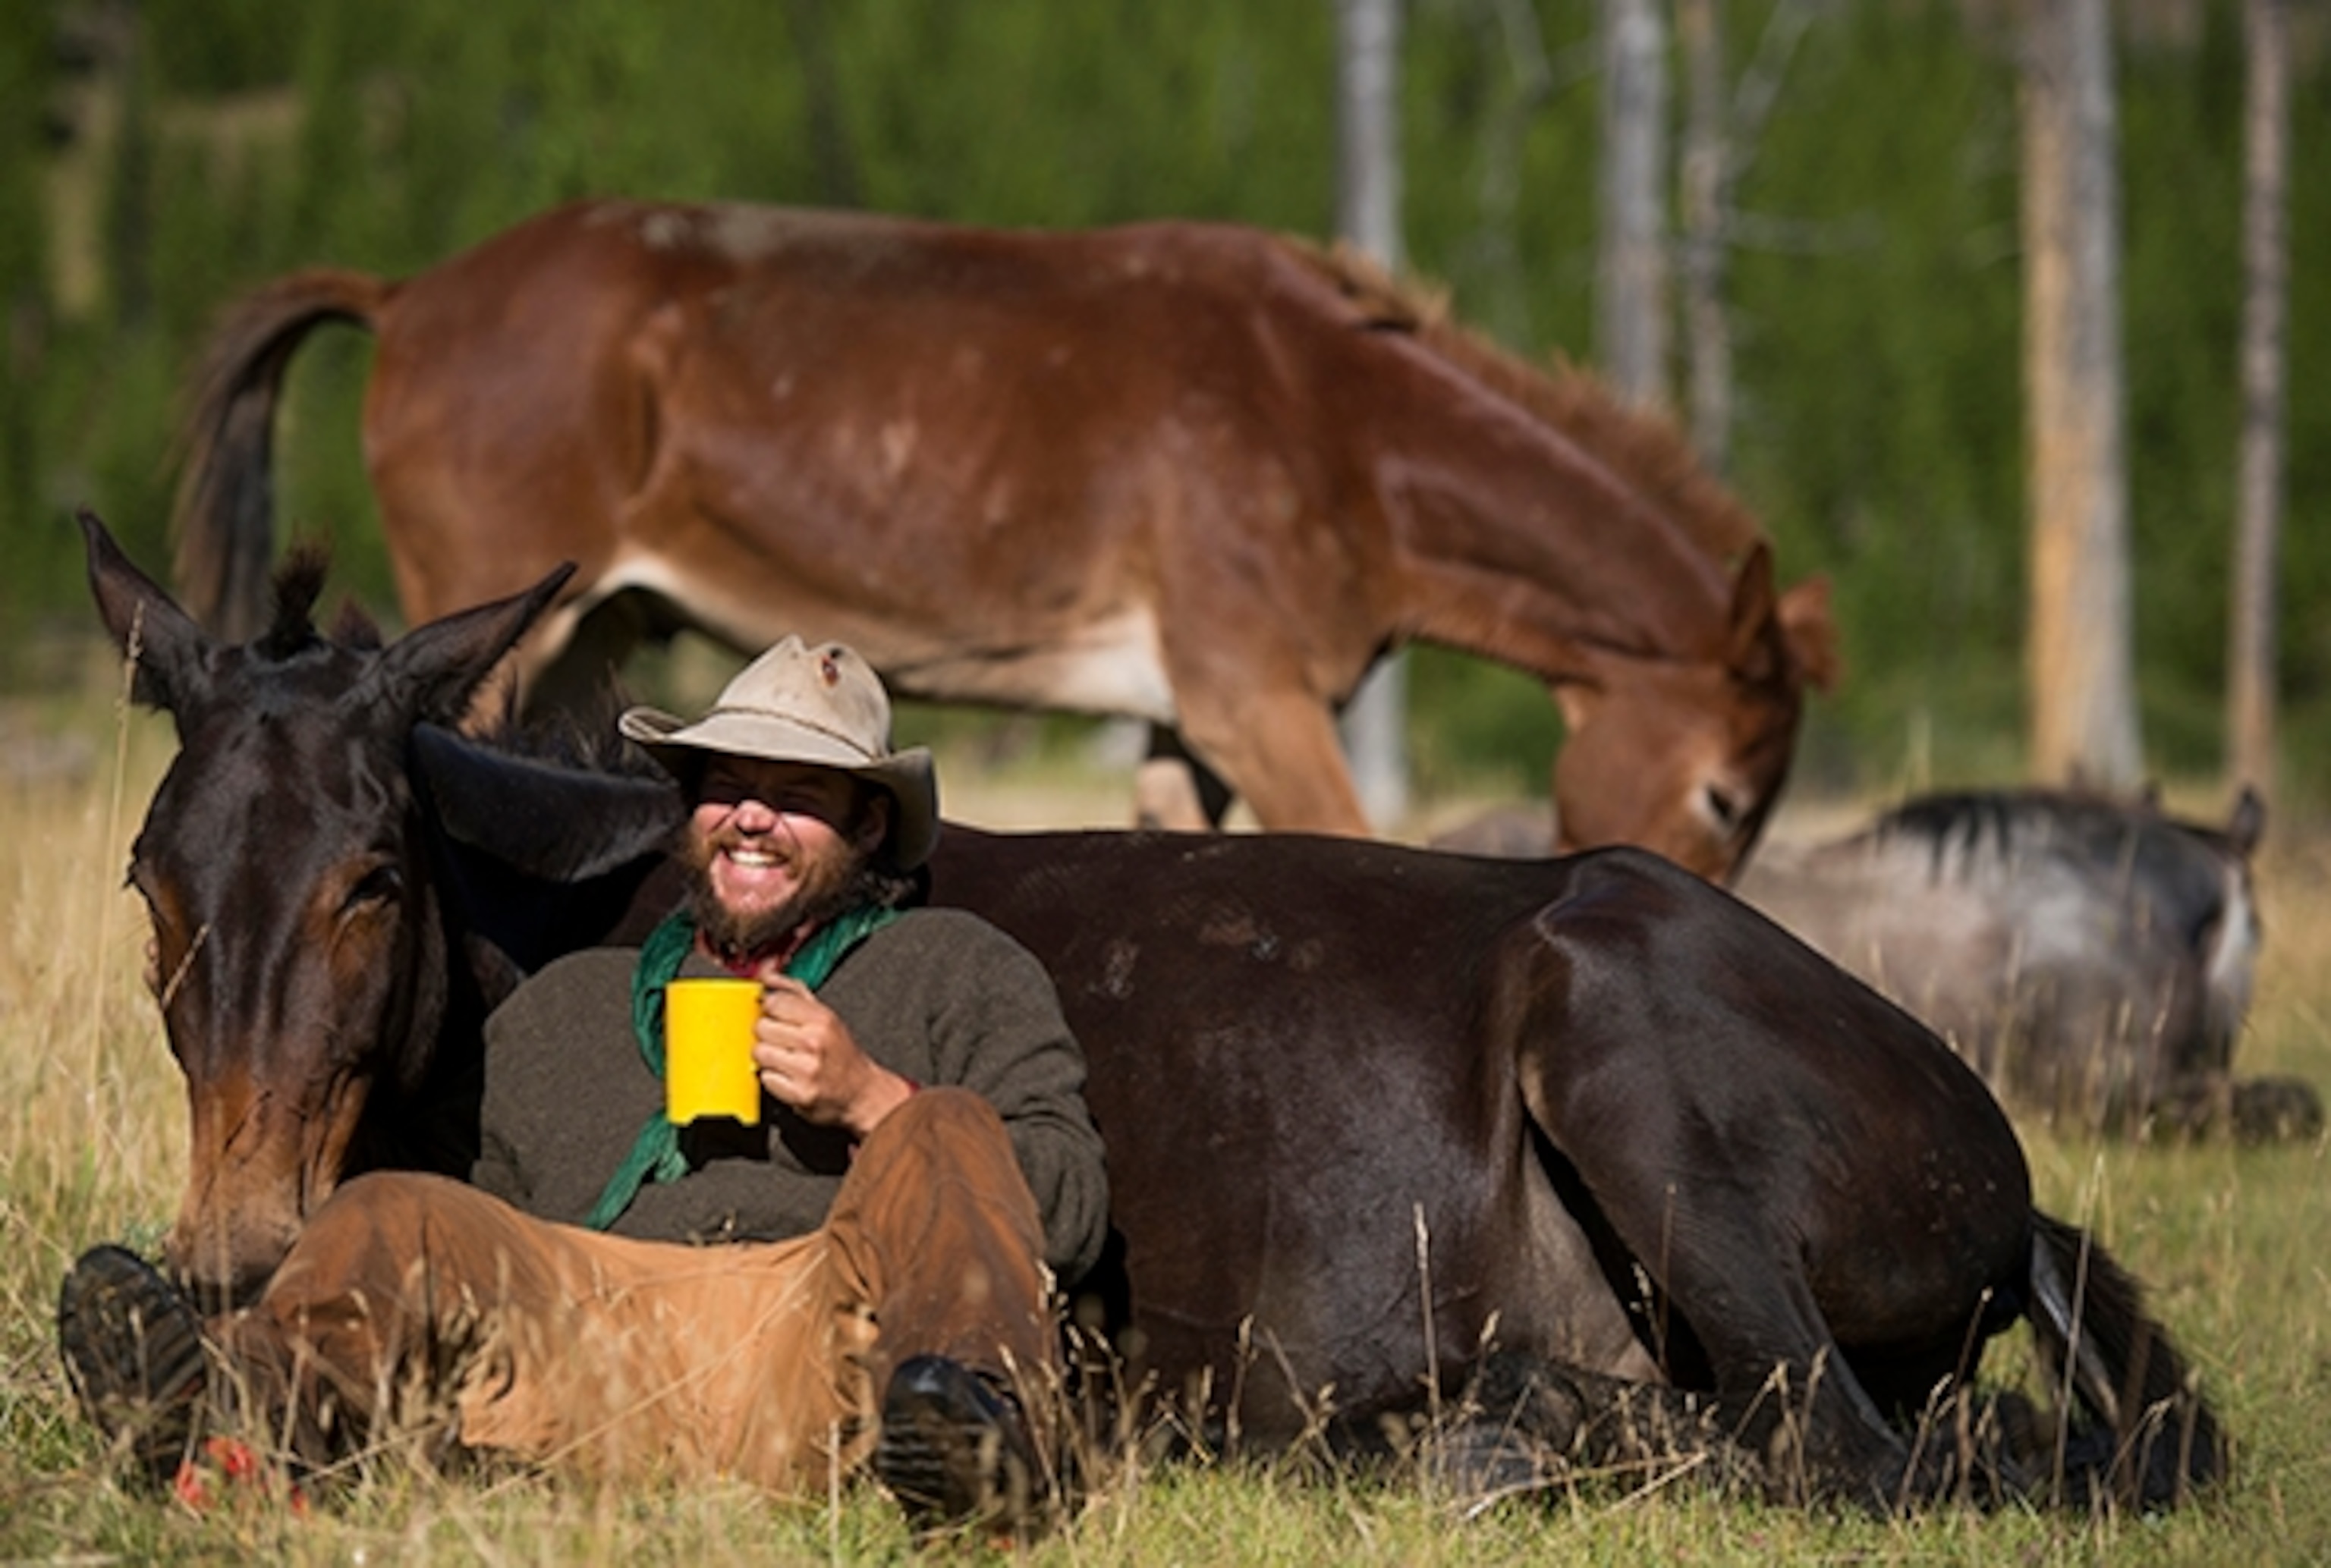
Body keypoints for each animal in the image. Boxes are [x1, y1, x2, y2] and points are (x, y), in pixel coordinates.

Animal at [83, 513, 2216, 1511]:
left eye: (373, 879)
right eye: (148, 883)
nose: (235, 1235)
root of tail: (2007, 1176)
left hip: (1620, 1051)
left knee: (1845, 1445)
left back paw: (1464, 1429)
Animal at [171, 200, 1837, 880]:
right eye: (1723, 792)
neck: (1336, 424)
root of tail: (410, 297)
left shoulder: (1186, 720)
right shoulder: (1258, 696)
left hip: (602, 628)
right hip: (498, 614)